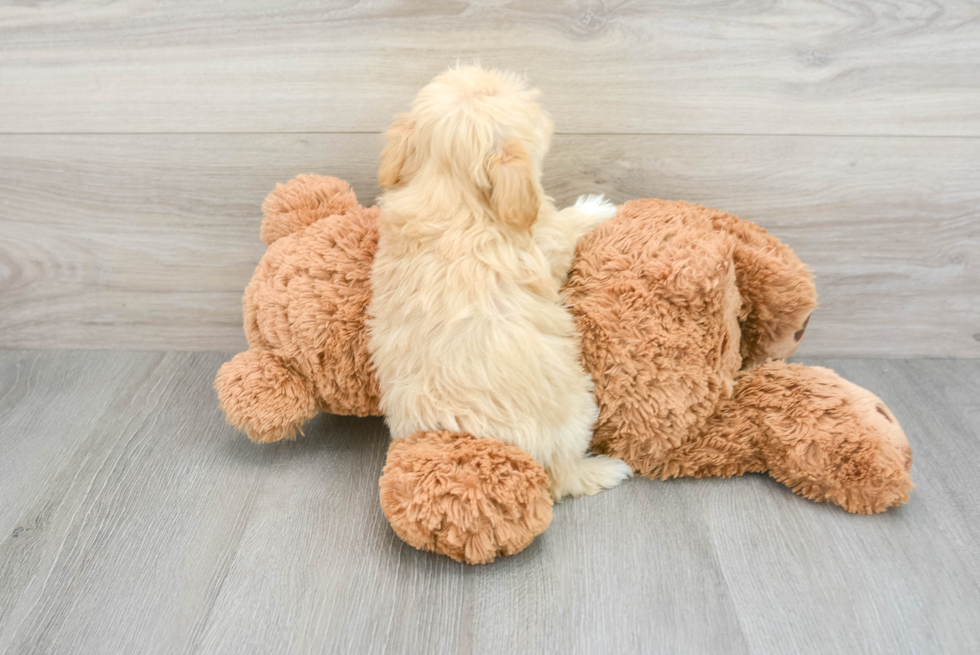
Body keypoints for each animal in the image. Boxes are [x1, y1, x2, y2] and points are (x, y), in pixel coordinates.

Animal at [364, 65, 632, 498]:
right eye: (534, 112)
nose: (550, 114)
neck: (449, 190)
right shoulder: (545, 242)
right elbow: (565, 227)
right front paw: (596, 208)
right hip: (579, 405)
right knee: (567, 477)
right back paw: (606, 468)